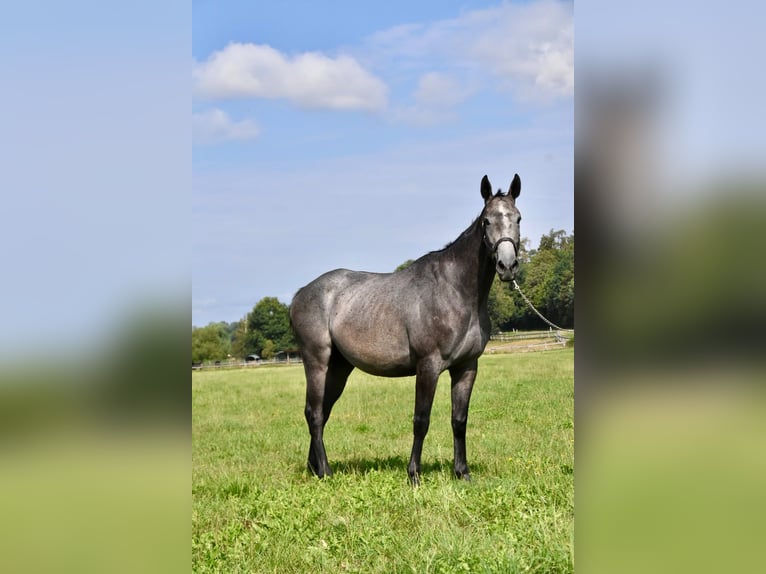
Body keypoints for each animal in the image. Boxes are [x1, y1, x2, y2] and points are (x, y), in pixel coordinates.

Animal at [289, 174, 522, 485]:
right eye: (486, 221)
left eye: (518, 218)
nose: (507, 265)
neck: (456, 290)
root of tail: (301, 294)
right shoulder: (428, 366)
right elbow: (421, 420)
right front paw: (414, 475)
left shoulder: (466, 367)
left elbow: (459, 420)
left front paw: (462, 473)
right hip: (317, 361)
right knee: (314, 413)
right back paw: (325, 472)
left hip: (338, 367)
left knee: (322, 412)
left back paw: (314, 468)